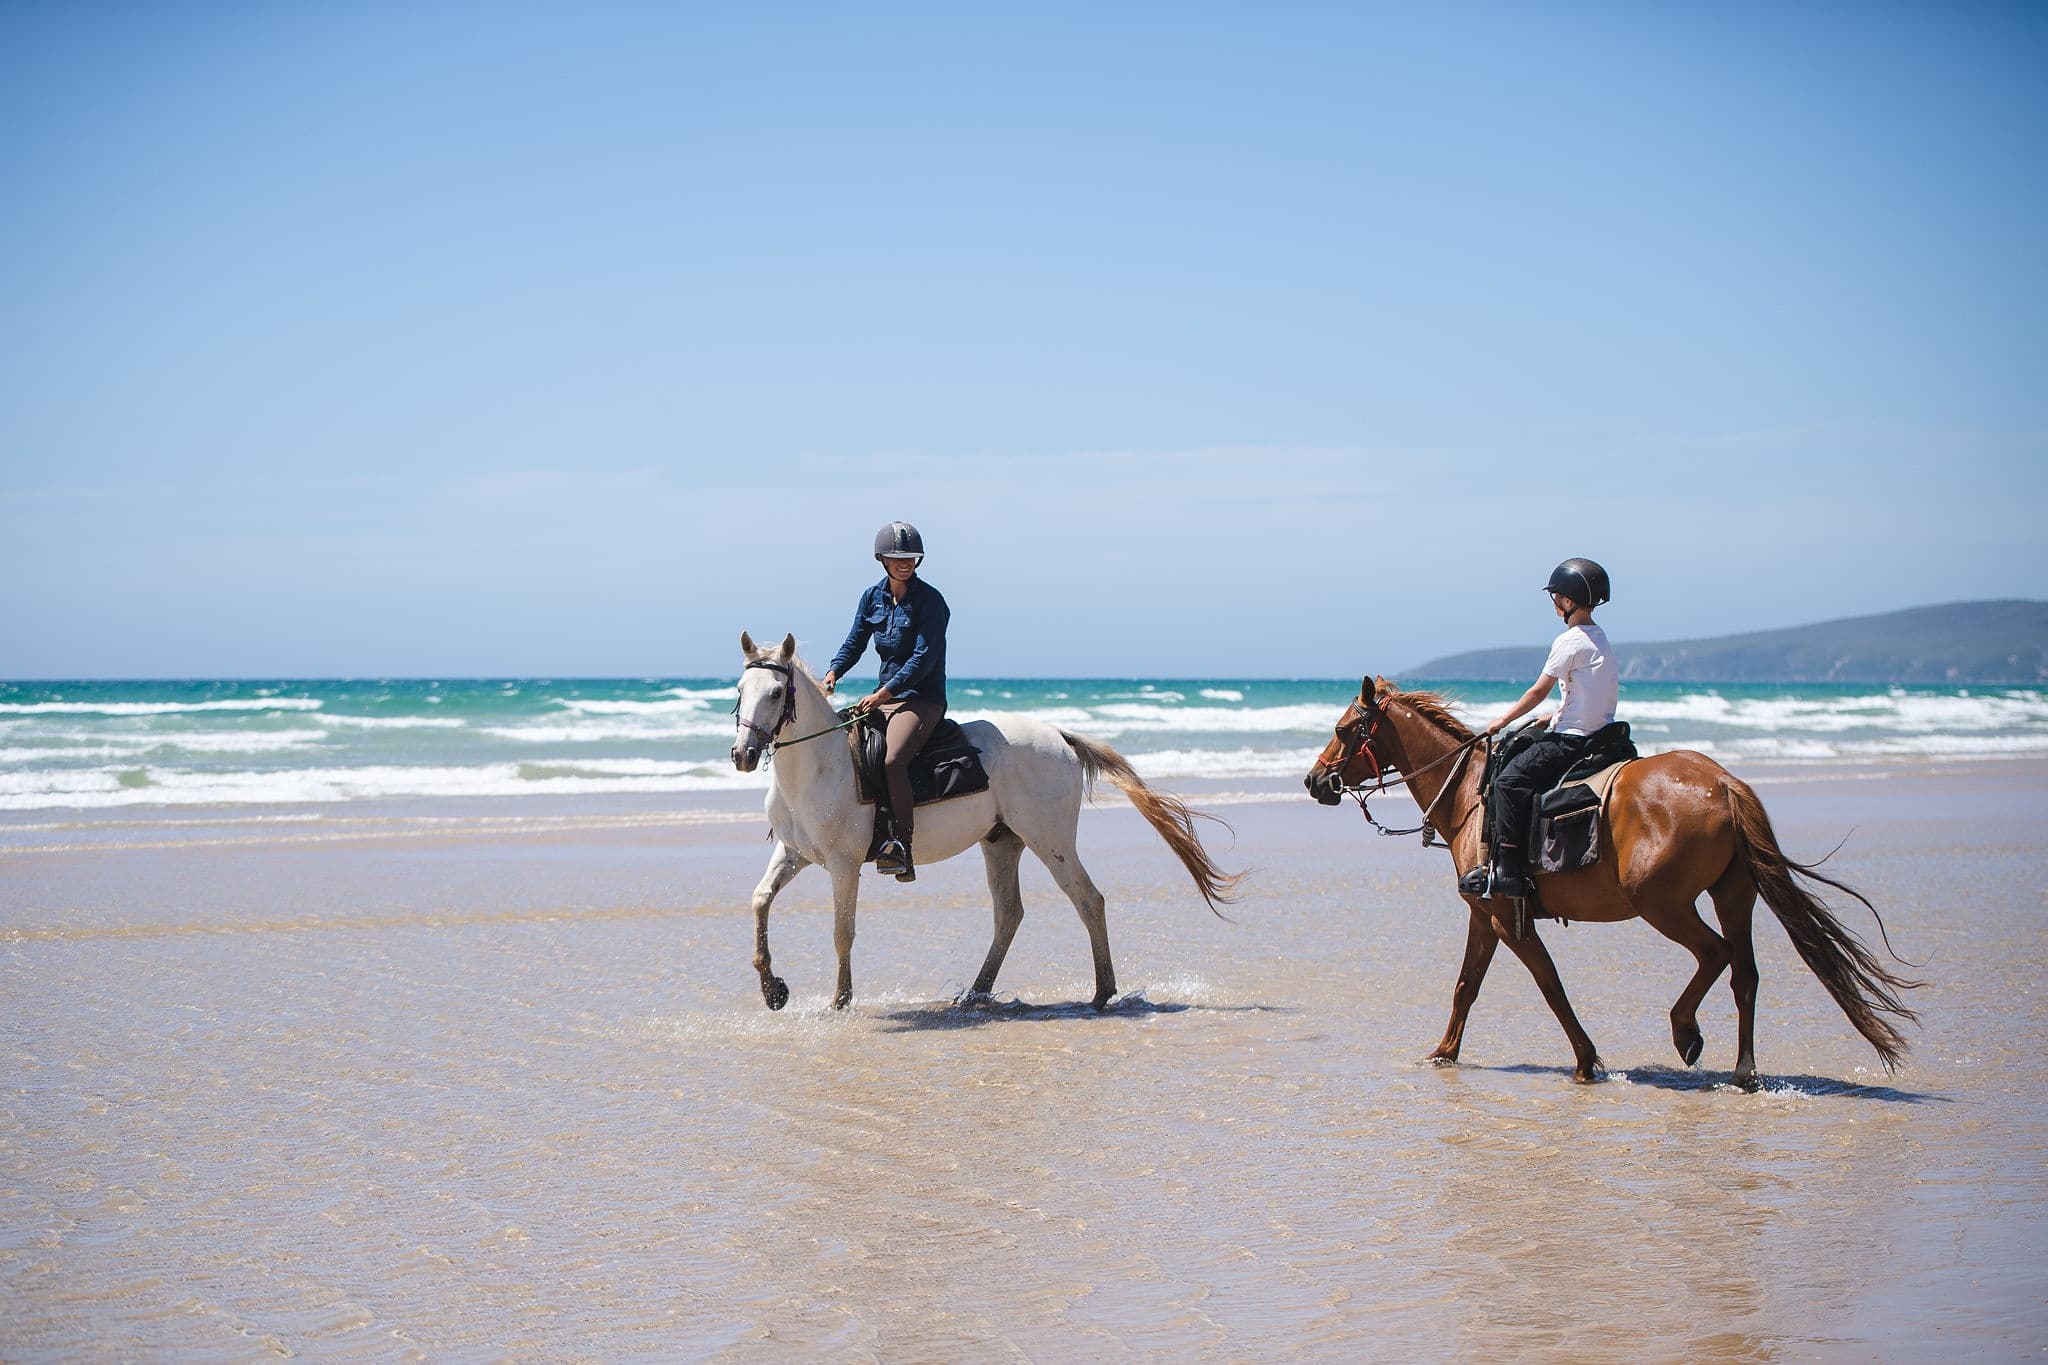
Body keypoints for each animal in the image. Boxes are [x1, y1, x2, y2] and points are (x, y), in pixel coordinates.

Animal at [729, 632, 1242, 1011]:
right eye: (739, 692)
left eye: (777, 692)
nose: (743, 755)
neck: (821, 765)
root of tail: (1060, 736)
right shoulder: (794, 854)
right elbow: (758, 901)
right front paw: (773, 990)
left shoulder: (843, 865)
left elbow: (842, 931)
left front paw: (840, 1001)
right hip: (1002, 842)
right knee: (1009, 914)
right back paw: (977, 993)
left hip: (1050, 840)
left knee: (1087, 900)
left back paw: (1101, 993)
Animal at [1303, 677, 1920, 1087]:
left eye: (1342, 729)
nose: (1313, 781)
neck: (1471, 794)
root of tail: (1724, 783)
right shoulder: (1486, 914)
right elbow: (1466, 986)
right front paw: (1444, 1052)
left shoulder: (1507, 917)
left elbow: (1550, 985)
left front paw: (1585, 1060)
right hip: (1733, 895)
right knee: (1744, 972)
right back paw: (1743, 1070)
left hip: (1662, 904)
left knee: (1715, 956)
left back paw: (1686, 1032)